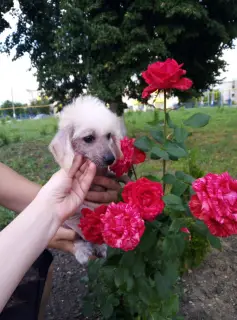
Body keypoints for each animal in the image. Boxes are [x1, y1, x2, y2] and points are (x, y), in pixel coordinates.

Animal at [48, 95, 125, 264]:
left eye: (108, 135)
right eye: (88, 138)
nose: (111, 159)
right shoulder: (75, 215)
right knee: (77, 239)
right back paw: (83, 250)